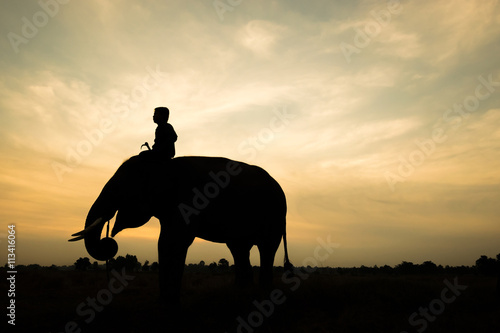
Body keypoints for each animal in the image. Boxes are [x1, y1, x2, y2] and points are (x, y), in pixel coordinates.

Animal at [68, 154, 292, 302]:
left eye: (118, 189)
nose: (109, 242)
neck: (160, 165)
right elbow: (164, 242)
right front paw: (166, 299)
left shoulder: (189, 201)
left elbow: (176, 241)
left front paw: (170, 300)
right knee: (239, 250)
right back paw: (241, 294)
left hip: (274, 216)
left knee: (266, 249)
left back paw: (262, 294)